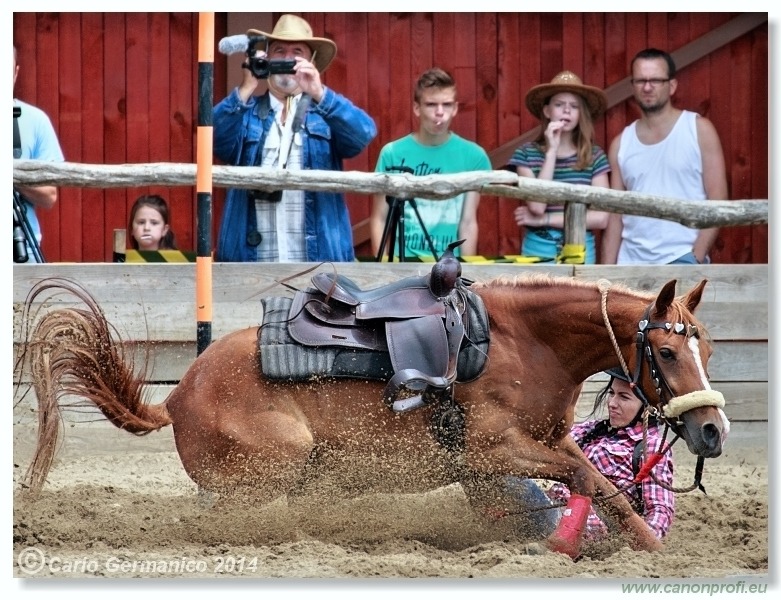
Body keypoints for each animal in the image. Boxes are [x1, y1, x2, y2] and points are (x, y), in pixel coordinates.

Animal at [15, 274, 728, 560]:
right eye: (667, 351)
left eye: (708, 346)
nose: (712, 430)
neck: (523, 342)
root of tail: (177, 393)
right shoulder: (490, 452)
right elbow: (587, 484)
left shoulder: (554, 441)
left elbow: (609, 490)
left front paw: (652, 551)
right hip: (275, 468)